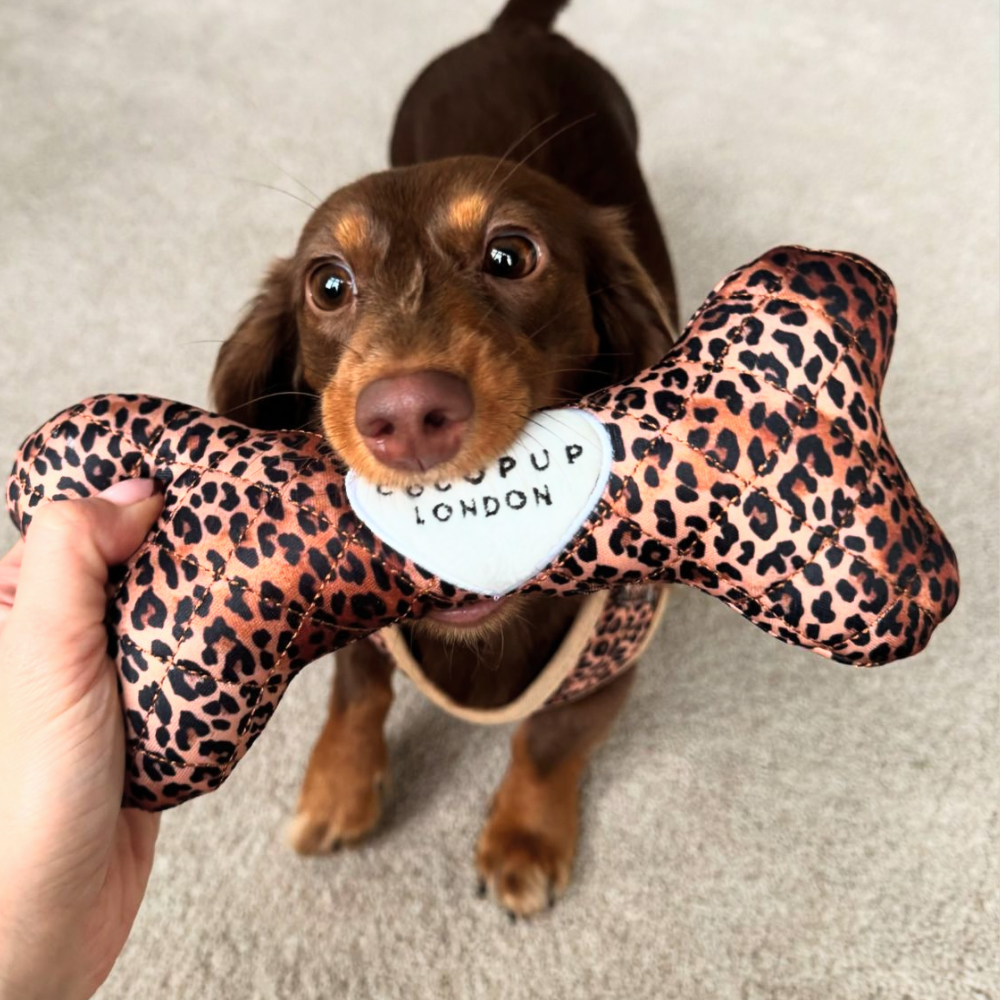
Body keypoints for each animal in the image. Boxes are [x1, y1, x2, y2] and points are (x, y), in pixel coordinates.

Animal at [211, 0, 680, 920]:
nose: (406, 416)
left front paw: (525, 838)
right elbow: (359, 692)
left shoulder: (607, 666)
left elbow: (548, 742)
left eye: (512, 254)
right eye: (327, 284)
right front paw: (336, 789)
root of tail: (512, 31)